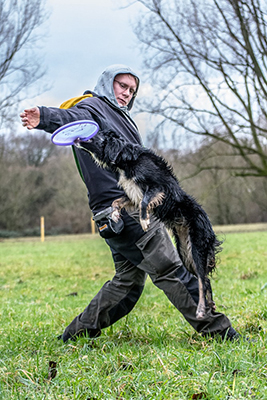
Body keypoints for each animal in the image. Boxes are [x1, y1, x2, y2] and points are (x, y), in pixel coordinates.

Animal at [78, 131, 223, 318]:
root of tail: (210, 229)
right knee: (205, 280)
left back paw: (200, 309)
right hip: (185, 253)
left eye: (91, 136)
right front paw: (115, 215)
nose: (77, 139)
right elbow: (117, 201)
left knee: (201, 281)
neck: (125, 159)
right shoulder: (132, 193)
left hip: (197, 250)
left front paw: (144, 221)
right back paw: (210, 304)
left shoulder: (158, 187)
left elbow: (144, 202)